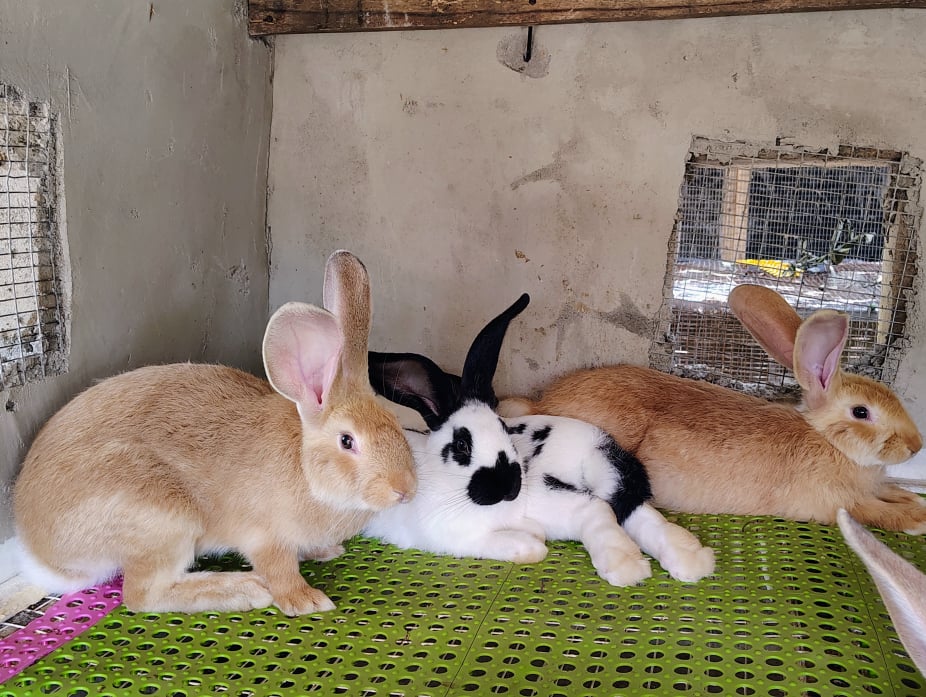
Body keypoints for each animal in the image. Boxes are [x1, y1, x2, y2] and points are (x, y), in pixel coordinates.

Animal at [12, 250, 416, 616]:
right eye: (347, 441)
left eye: (397, 425)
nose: (405, 490)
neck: (306, 468)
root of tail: (41, 552)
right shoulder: (265, 536)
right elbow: (280, 569)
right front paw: (306, 601)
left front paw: (327, 552)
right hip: (162, 518)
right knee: (143, 595)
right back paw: (244, 590)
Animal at [365, 294, 715, 585]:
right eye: (462, 445)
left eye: (503, 428)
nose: (508, 487)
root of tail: (594, 441)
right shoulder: (457, 537)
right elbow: (530, 547)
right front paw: (534, 540)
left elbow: (570, 528)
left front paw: (625, 563)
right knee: (628, 509)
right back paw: (690, 560)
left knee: (614, 507)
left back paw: (638, 564)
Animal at [499, 284, 926, 533]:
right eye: (861, 413)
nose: (915, 446)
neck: (830, 444)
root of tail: (541, 401)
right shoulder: (838, 503)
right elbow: (878, 514)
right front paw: (917, 518)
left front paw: (912, 500)